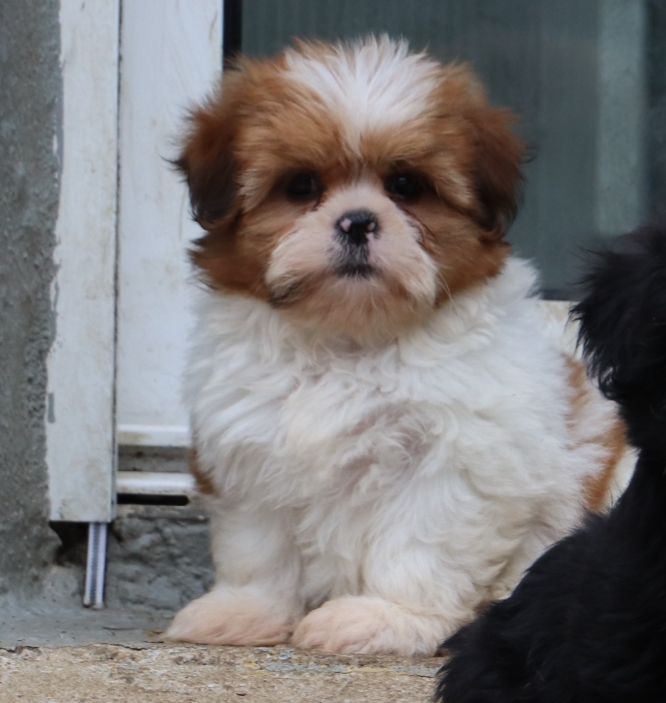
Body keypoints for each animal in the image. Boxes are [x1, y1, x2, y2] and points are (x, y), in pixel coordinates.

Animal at [165, 36, 624, 656]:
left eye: (406, 187)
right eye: (301, 186)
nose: (358, 222)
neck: (350, 340)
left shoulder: (457, 458)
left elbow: (418, 543)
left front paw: (385, 616)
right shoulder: (247, 445)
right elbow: (257, 545)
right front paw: (244, 610)